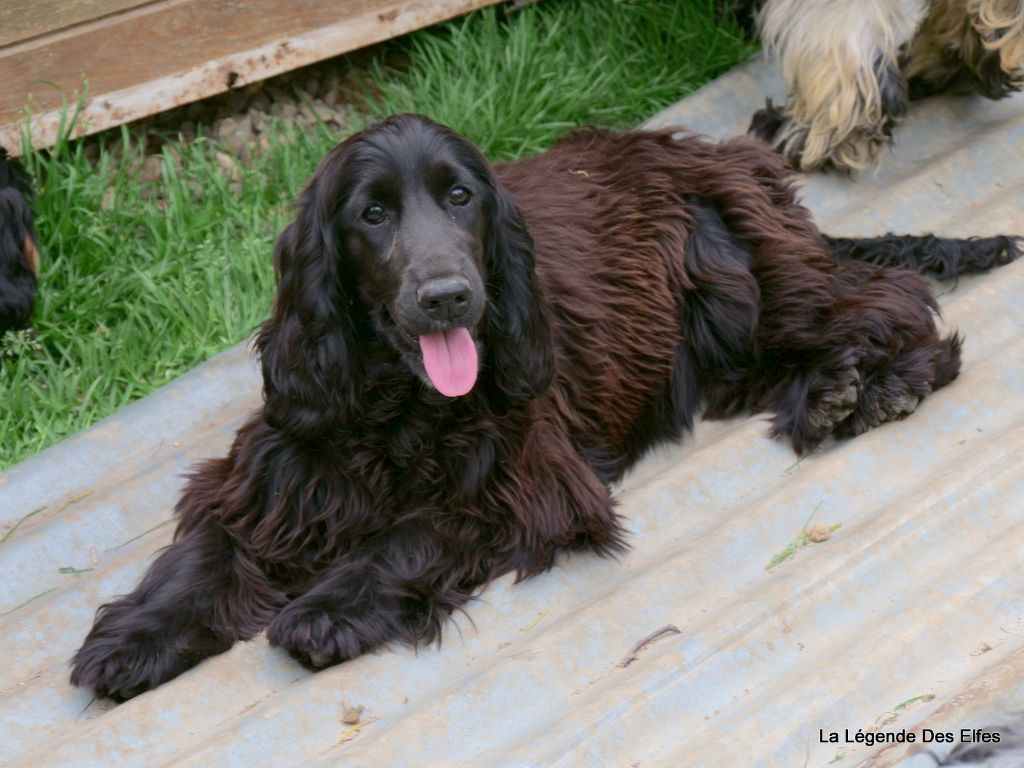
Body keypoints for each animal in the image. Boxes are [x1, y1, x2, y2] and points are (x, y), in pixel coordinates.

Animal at [70, 115, 1015, 704]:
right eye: (372, 213)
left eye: (461, 197)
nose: (449, 297)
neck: (396, 406)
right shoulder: (276, 470)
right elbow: (202, 553)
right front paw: (135, 636)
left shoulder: (528, 484)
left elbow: (414, 533)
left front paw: (328, 609)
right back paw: (829, 391)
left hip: (740, 281)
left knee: (890, 299)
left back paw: (871, 386)